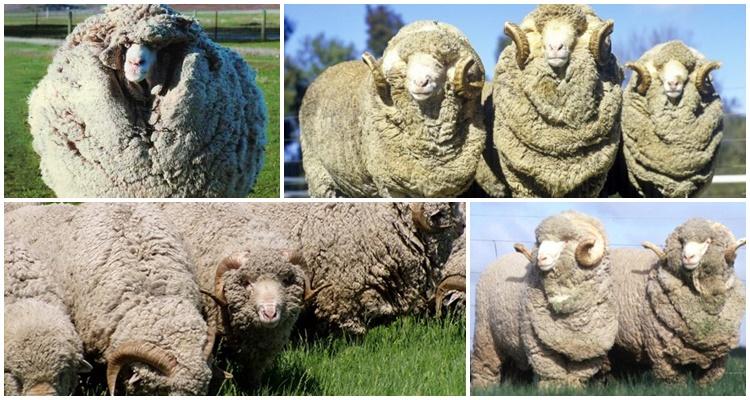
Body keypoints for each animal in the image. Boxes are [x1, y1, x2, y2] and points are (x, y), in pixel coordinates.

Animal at [471, 211, 617, 388]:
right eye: (540, 242)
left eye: (566, 240)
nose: (541, 258)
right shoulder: (538, 341)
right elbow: (552, 373)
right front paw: (554, 389)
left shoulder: (590, 348)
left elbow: (577, 375)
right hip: (485, 332)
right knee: (485, 365)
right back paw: (483, 387)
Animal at [610, 218, 745, 385]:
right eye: (682, 242)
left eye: (708, 241)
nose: (688, 257)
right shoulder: (661, 345)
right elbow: (673, 380)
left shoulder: (717, 352)